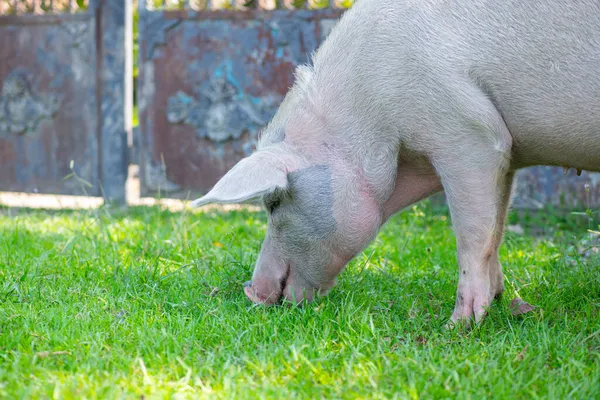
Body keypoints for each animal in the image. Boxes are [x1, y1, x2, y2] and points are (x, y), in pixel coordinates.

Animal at [193, 0, 600, 324]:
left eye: (274, 202)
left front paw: (459, 327)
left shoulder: (471, 133)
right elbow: (496, 228)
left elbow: (472, 234)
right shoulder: (510, 156)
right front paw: (500, 302)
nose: (251, 292)